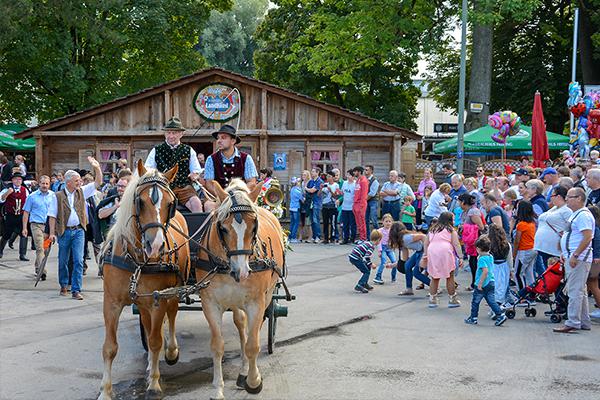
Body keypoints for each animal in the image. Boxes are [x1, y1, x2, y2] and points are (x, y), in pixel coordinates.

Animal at [98, 160, 190, 400]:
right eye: (139, 202)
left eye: (171, 204)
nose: (155, 245)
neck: (137, 261)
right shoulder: (111, 303)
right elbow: (110, 347)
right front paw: (105, 390)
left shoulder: (158, 301)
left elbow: (156, 341)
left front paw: (154, 384)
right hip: (143, 302)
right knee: (148, 329)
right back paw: (150, 364)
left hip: (173, 291)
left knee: (171, 317)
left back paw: (171, 351)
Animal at [196, 180, 282, 400]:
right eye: (223, 228)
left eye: (254, 226)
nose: (241, 272)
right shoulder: (210, 302)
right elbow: (217, 345)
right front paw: (217, 388)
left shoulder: (256, 302)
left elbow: (252, 345)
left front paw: (253, 381)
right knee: (241, 323)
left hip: (267, 296)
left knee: (254, 330)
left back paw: (247, 372)